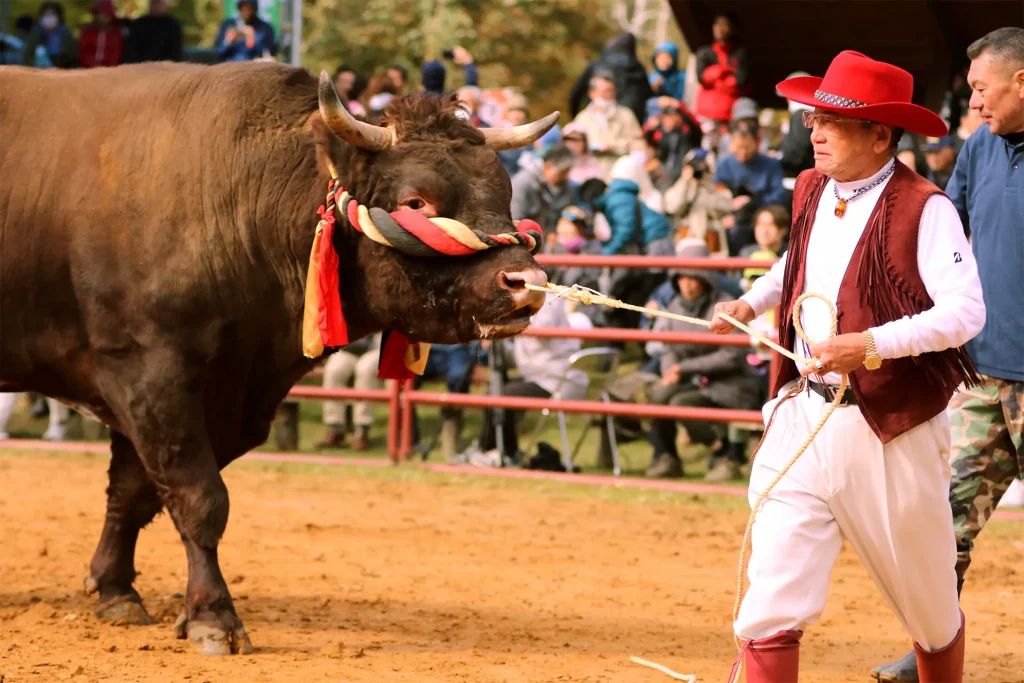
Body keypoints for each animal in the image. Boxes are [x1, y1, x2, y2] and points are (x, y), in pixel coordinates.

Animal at [0, 62, 557, 655]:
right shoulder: (146, 373)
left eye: (506, 196)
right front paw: (213, 616)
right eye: (416, 203)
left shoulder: (208, 391)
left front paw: (115, 590)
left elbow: (134, 493)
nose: (526, 282)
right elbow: (199, 498)